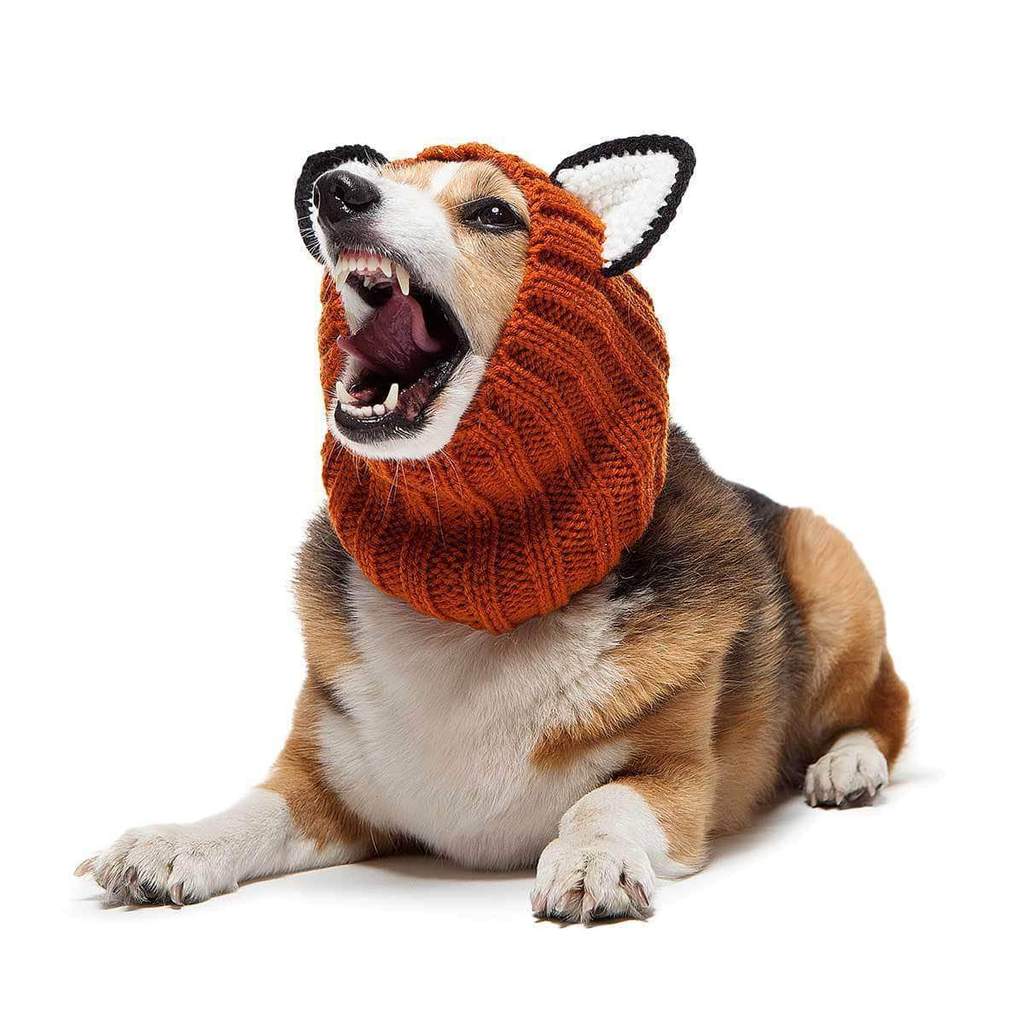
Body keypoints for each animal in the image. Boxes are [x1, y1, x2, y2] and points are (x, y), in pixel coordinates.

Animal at [76, 137, 909, 924]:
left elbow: (601, 802)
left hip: (828, 575)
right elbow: (255, 810)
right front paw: (173, 842)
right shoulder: (321, 785)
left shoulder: (674, 781)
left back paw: (847, 767)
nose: (337, 191)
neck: (477, 596)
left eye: (493, 213)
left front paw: (591, 861)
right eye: (381, 175)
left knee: (888, 710)